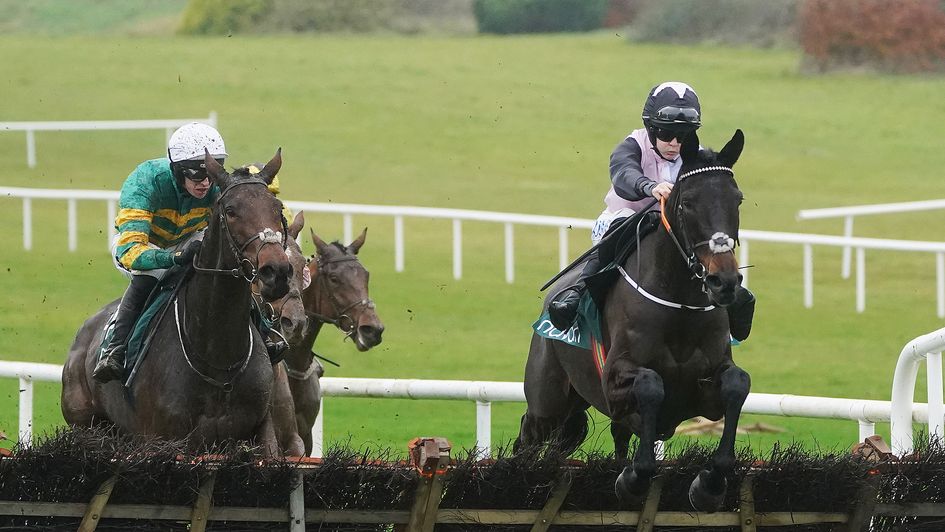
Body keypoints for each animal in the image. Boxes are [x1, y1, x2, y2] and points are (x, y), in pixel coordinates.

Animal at [63, 150, 298, 458]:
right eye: (231, 210)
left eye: (277, 208)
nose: (276, 272)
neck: (218, 360)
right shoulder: (161, 439)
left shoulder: (263, 430)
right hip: (87, 426)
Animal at [516, 130, 752, 512]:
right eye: (687, 202)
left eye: (737, 200)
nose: (724, 282)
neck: (680, 307)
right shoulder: (615, 380)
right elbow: (650, 386)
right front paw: (633, 480)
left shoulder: (704, 391)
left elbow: (736, 384)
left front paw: (710, 484)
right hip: (547, 400)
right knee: (529, 436)